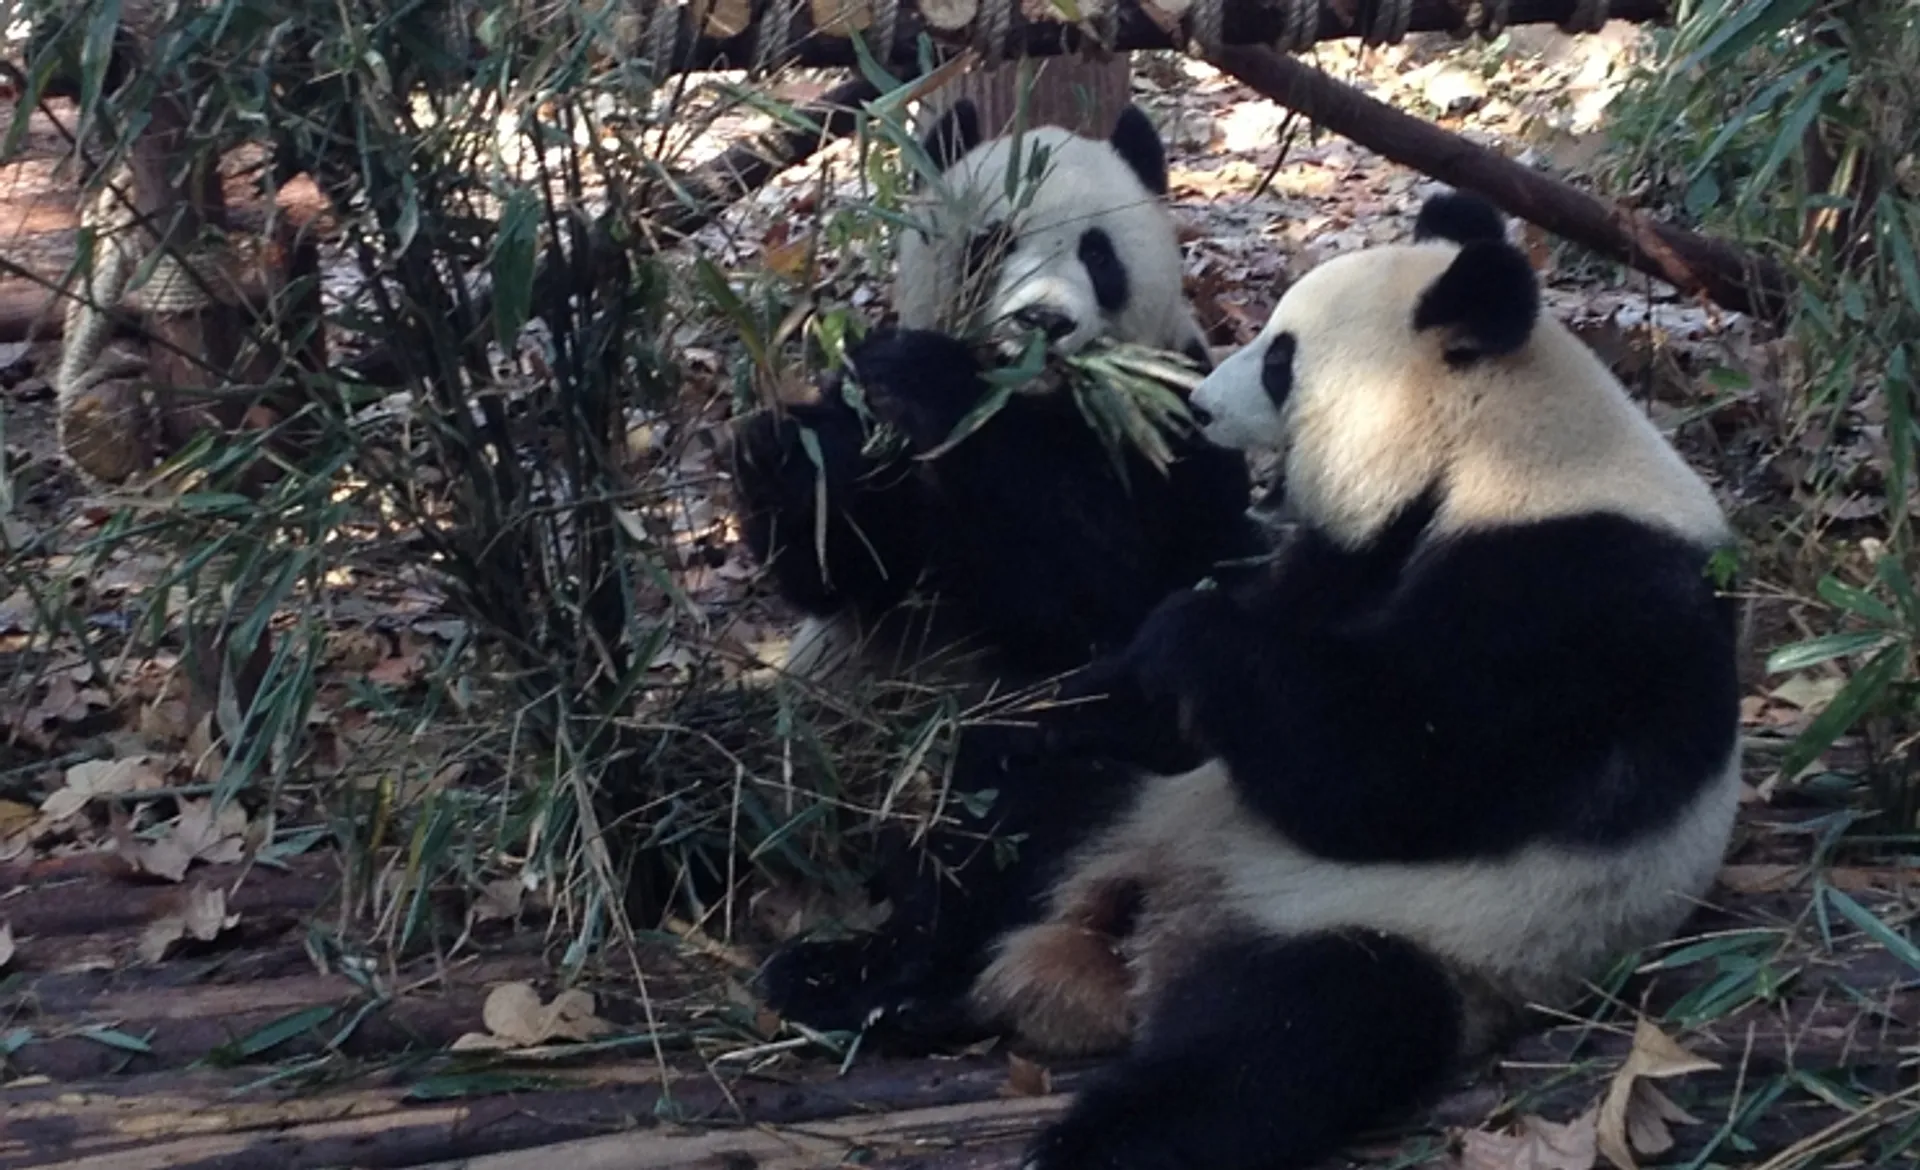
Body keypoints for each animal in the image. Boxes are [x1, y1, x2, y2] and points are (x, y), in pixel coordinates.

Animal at [735, 103, 1269, 1040]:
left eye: (1098, 253)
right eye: (993, 239)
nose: (1043, 323)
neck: (1034, 400)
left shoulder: (1170, 425)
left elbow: (1093, 587)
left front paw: (925, 378)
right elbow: (845, 566)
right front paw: (785, 452)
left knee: (1005, 809)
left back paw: (872, 981)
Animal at [958, 191, 1745, 1170]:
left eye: (1282, 360)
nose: (1200, 407)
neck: (1502, 448)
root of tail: (1150, 937)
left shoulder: (1588, 596)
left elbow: (1396, 772)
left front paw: (1186, 632)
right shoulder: (1357, 559)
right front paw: (1086, 689)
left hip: (1420, 941)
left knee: (1277, 1043)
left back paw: (1087, 1142)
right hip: (1144, 813)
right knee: (1012, 830)